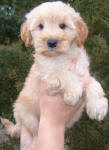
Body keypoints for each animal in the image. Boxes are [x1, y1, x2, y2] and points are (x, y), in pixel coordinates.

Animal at [0, 0, 108, 149]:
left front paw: (98, 105)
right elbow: (63, 73)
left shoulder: (82, 70)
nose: (51, 42)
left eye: (63, 26)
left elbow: (93, 83)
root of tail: (18, 123)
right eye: (40, 26)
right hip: (29, 117)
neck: (61, 57)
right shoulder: (47, 75)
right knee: (36, 135)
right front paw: (74, 91)